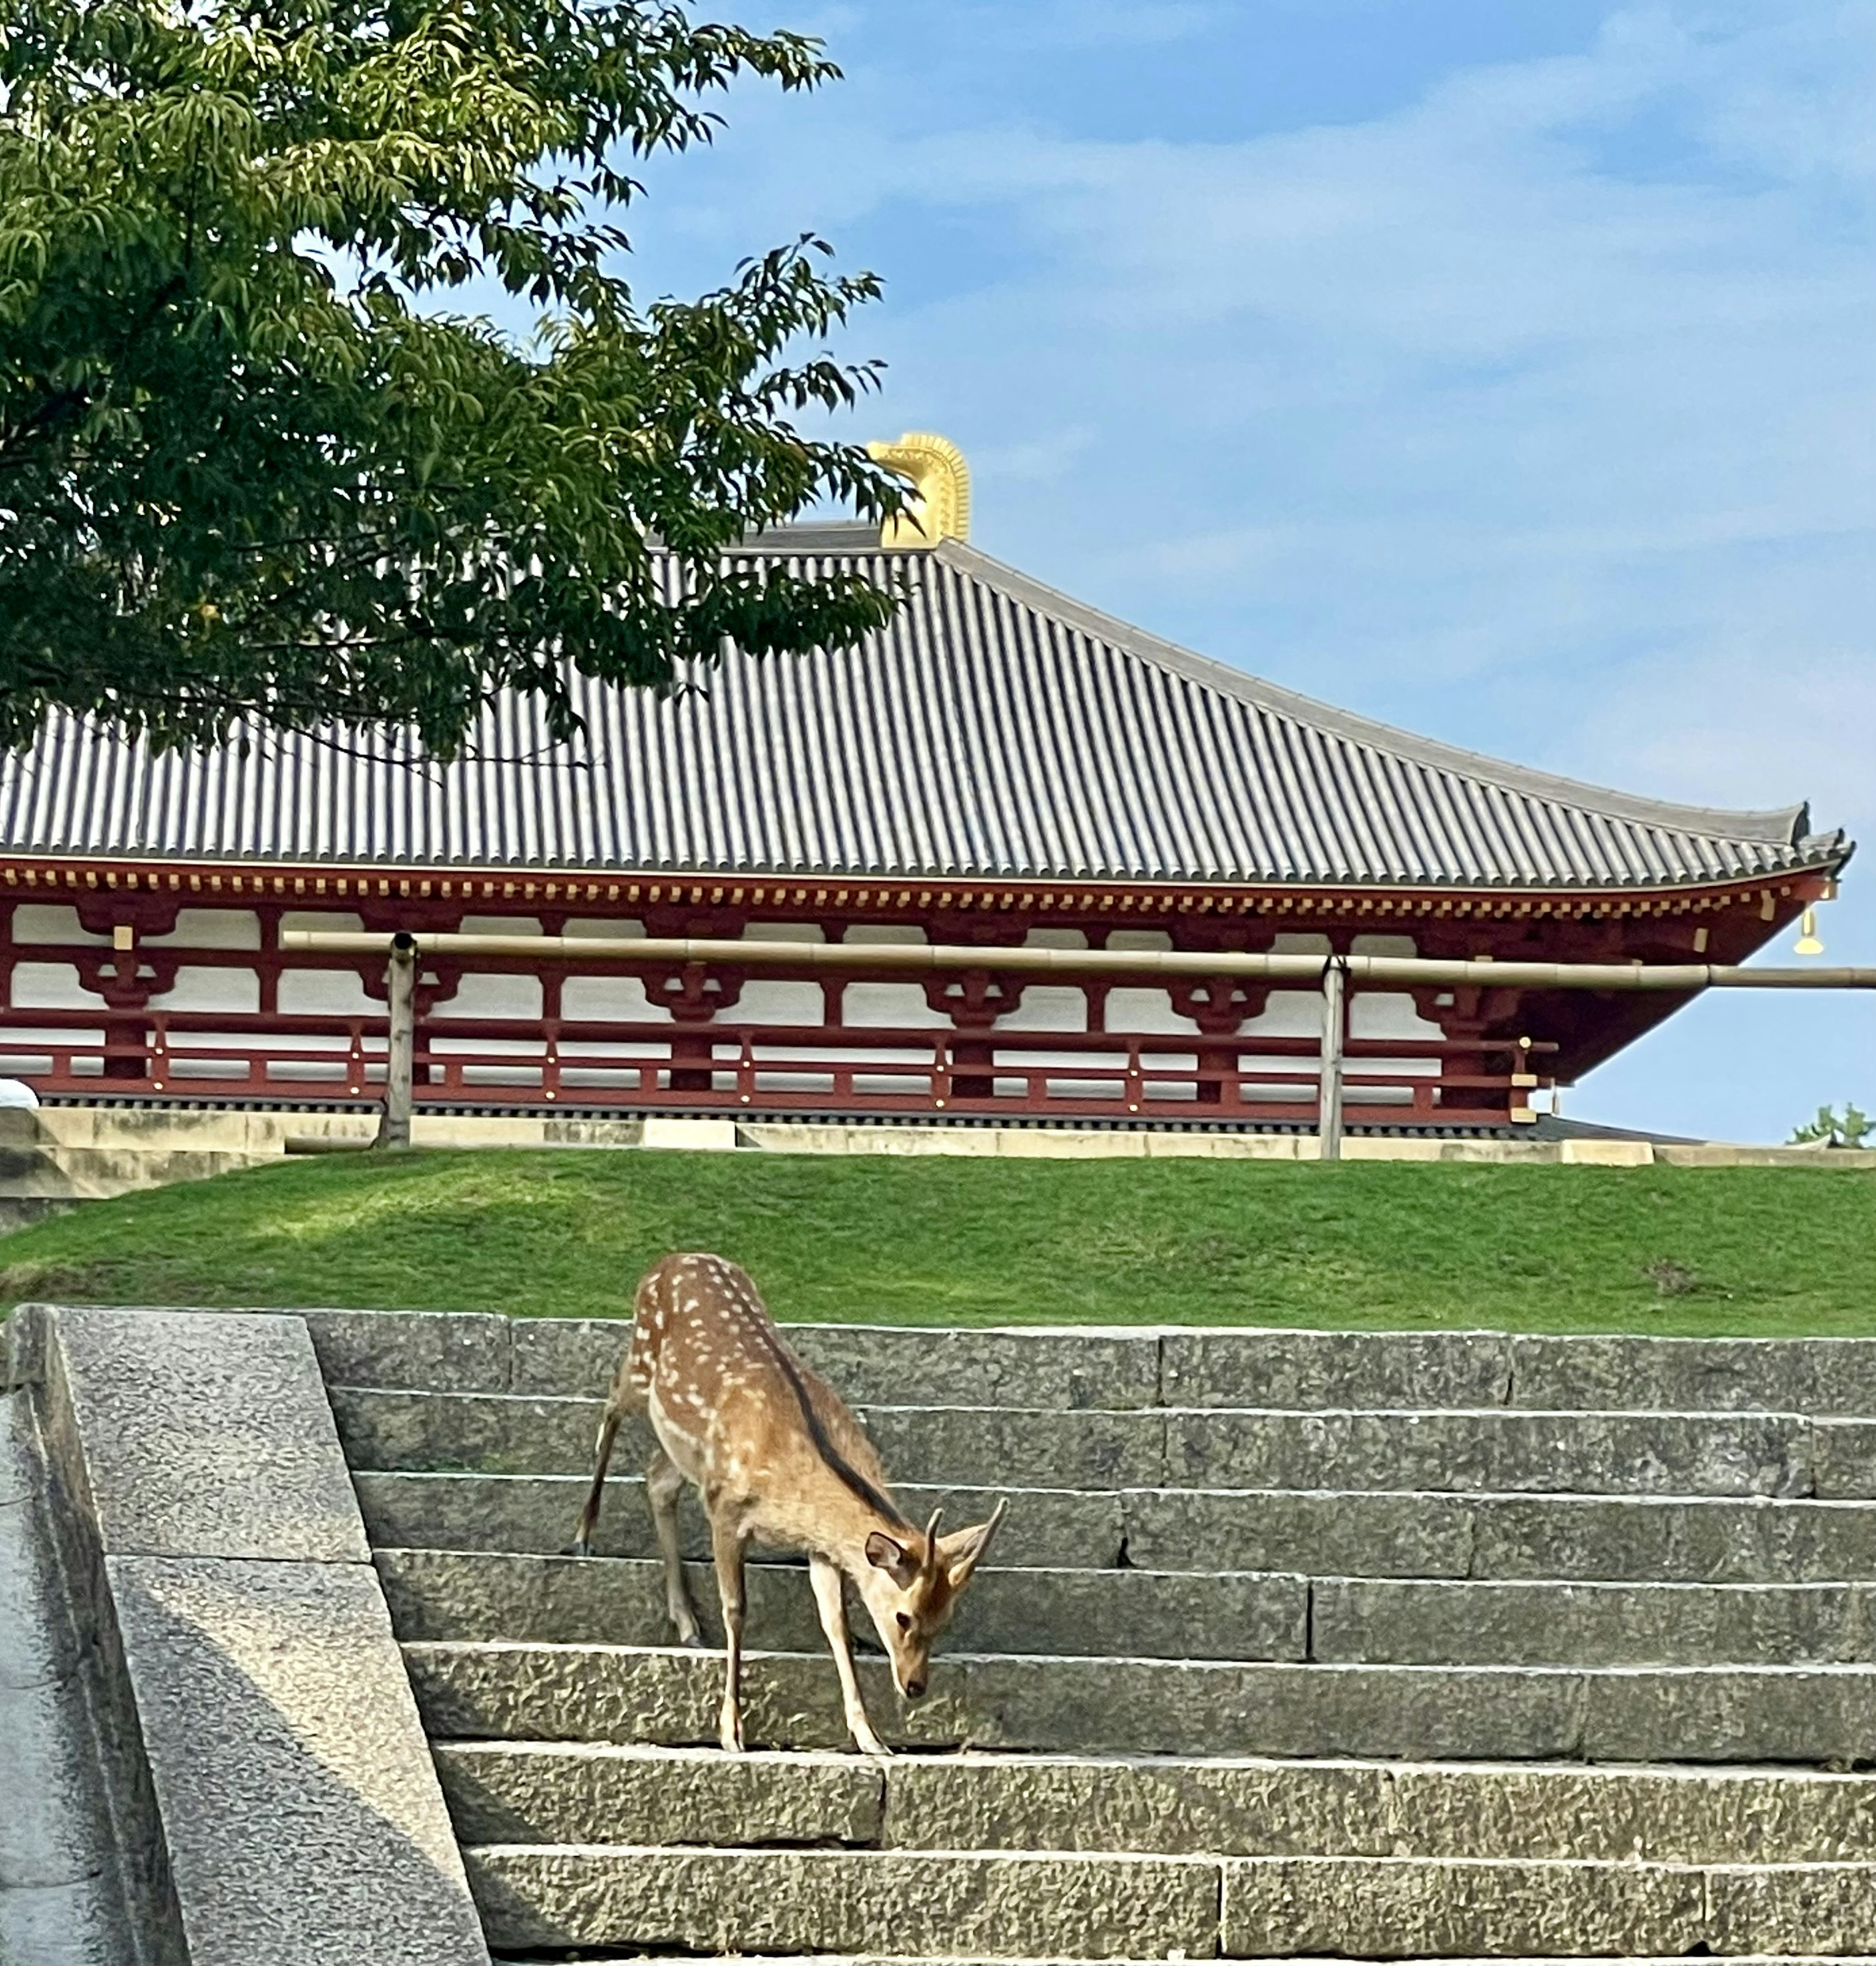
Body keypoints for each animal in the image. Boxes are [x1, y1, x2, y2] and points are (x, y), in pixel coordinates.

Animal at [566, 1250, 1002, 1761]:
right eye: (903, 1615)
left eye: (945, 1618)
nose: (915, 1686)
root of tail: (671, 1259)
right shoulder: (725, 1506)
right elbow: (736, 1610)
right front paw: (731, 1730)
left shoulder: (819, 1547)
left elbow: (836, 1624)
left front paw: (870, 1737)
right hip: (640, 1363)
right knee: (611, 1404)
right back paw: (583, 1533)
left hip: (685, 1449)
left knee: (657, 1479)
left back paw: (686, 1621)